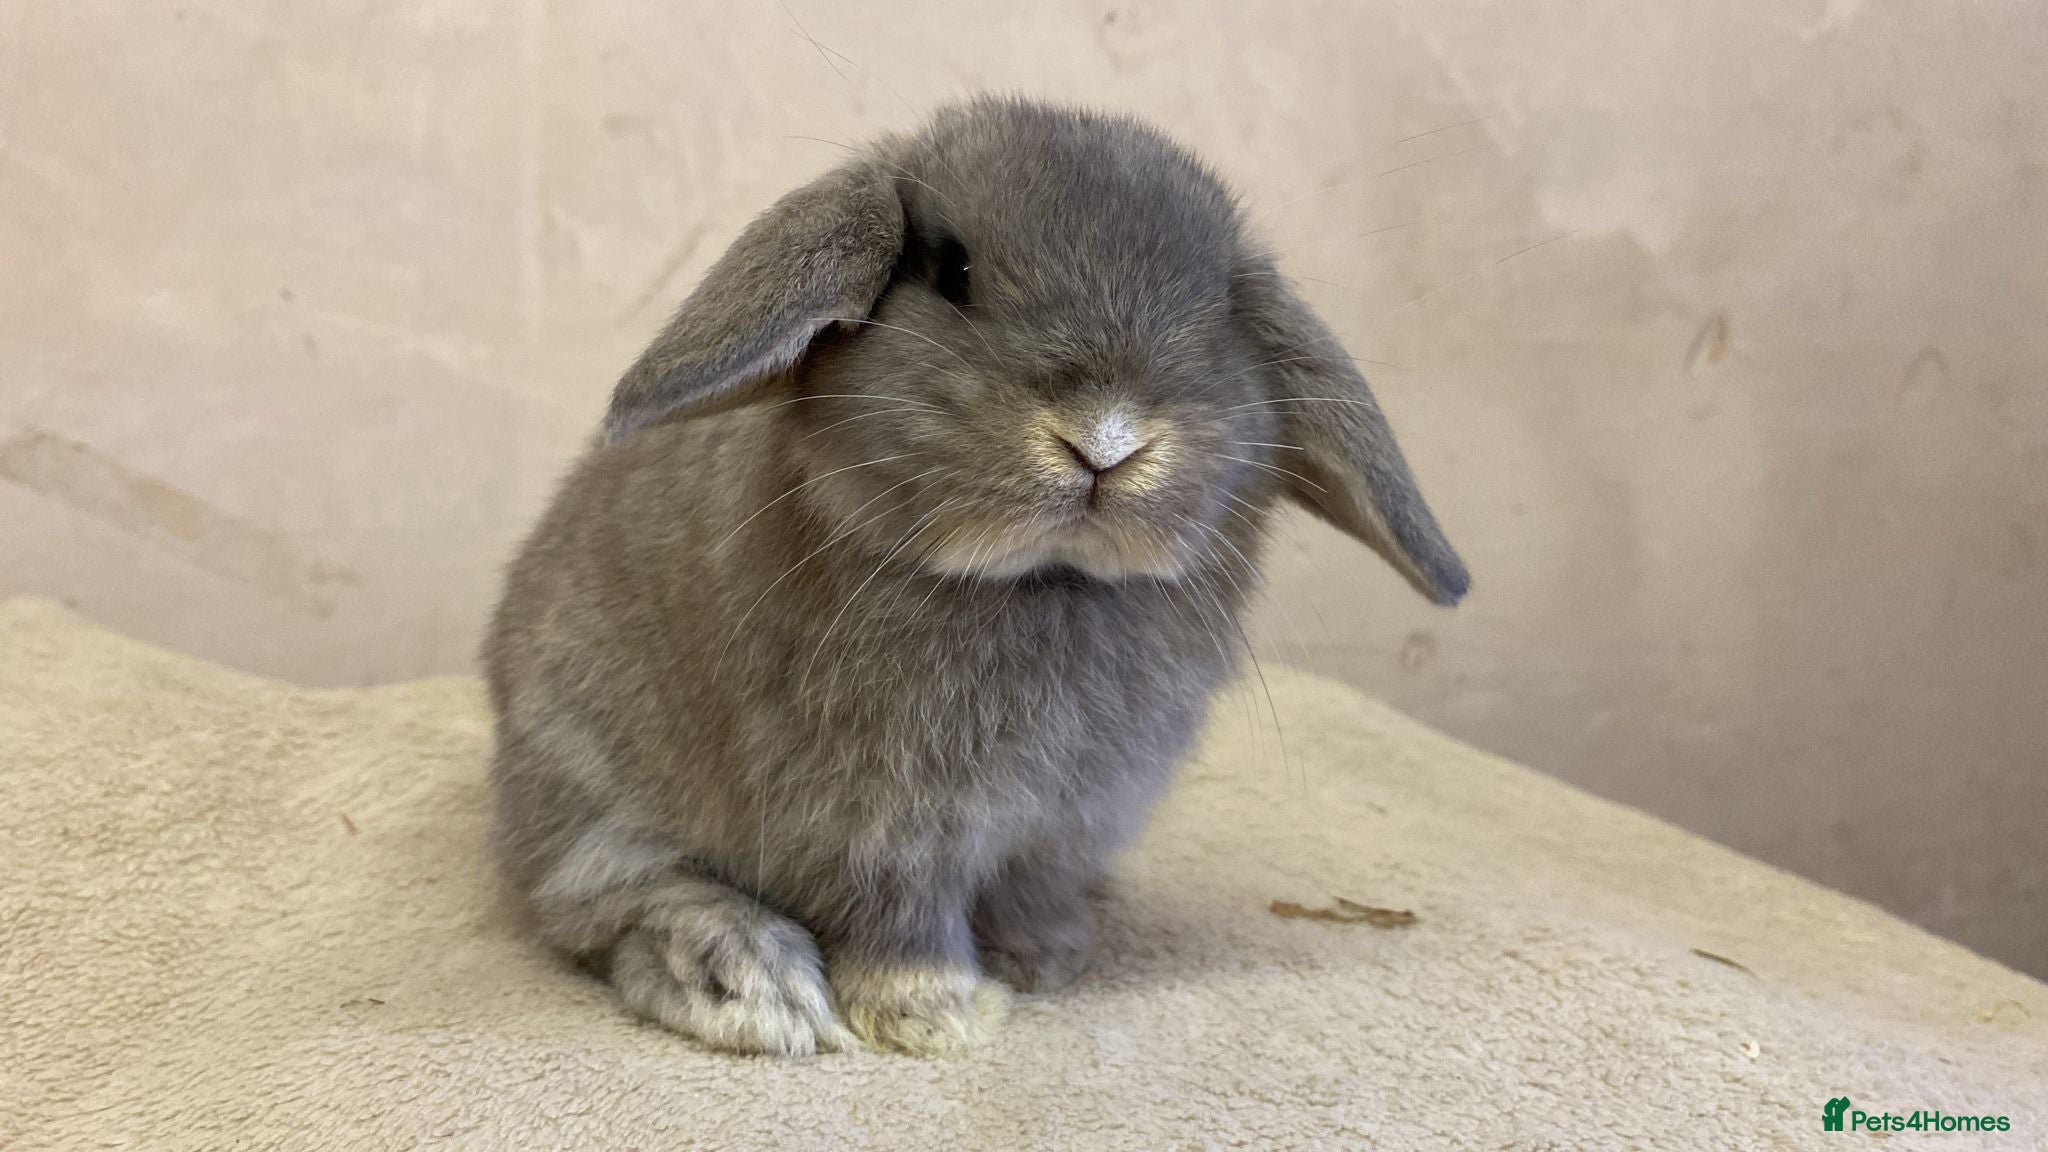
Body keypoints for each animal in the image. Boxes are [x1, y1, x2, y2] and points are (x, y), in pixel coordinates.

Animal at [482, 95, 1468, 1058]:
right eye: (954, 273)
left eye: (1222, 306)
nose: (1107, 441)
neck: (1041, 583)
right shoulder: (878, 828)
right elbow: (900, 921)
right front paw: (938, 1017)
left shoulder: (1064, 824)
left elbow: (1032, 889)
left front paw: (1047, 957)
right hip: (588, 773)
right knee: (599, 903)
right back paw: (752, 987)